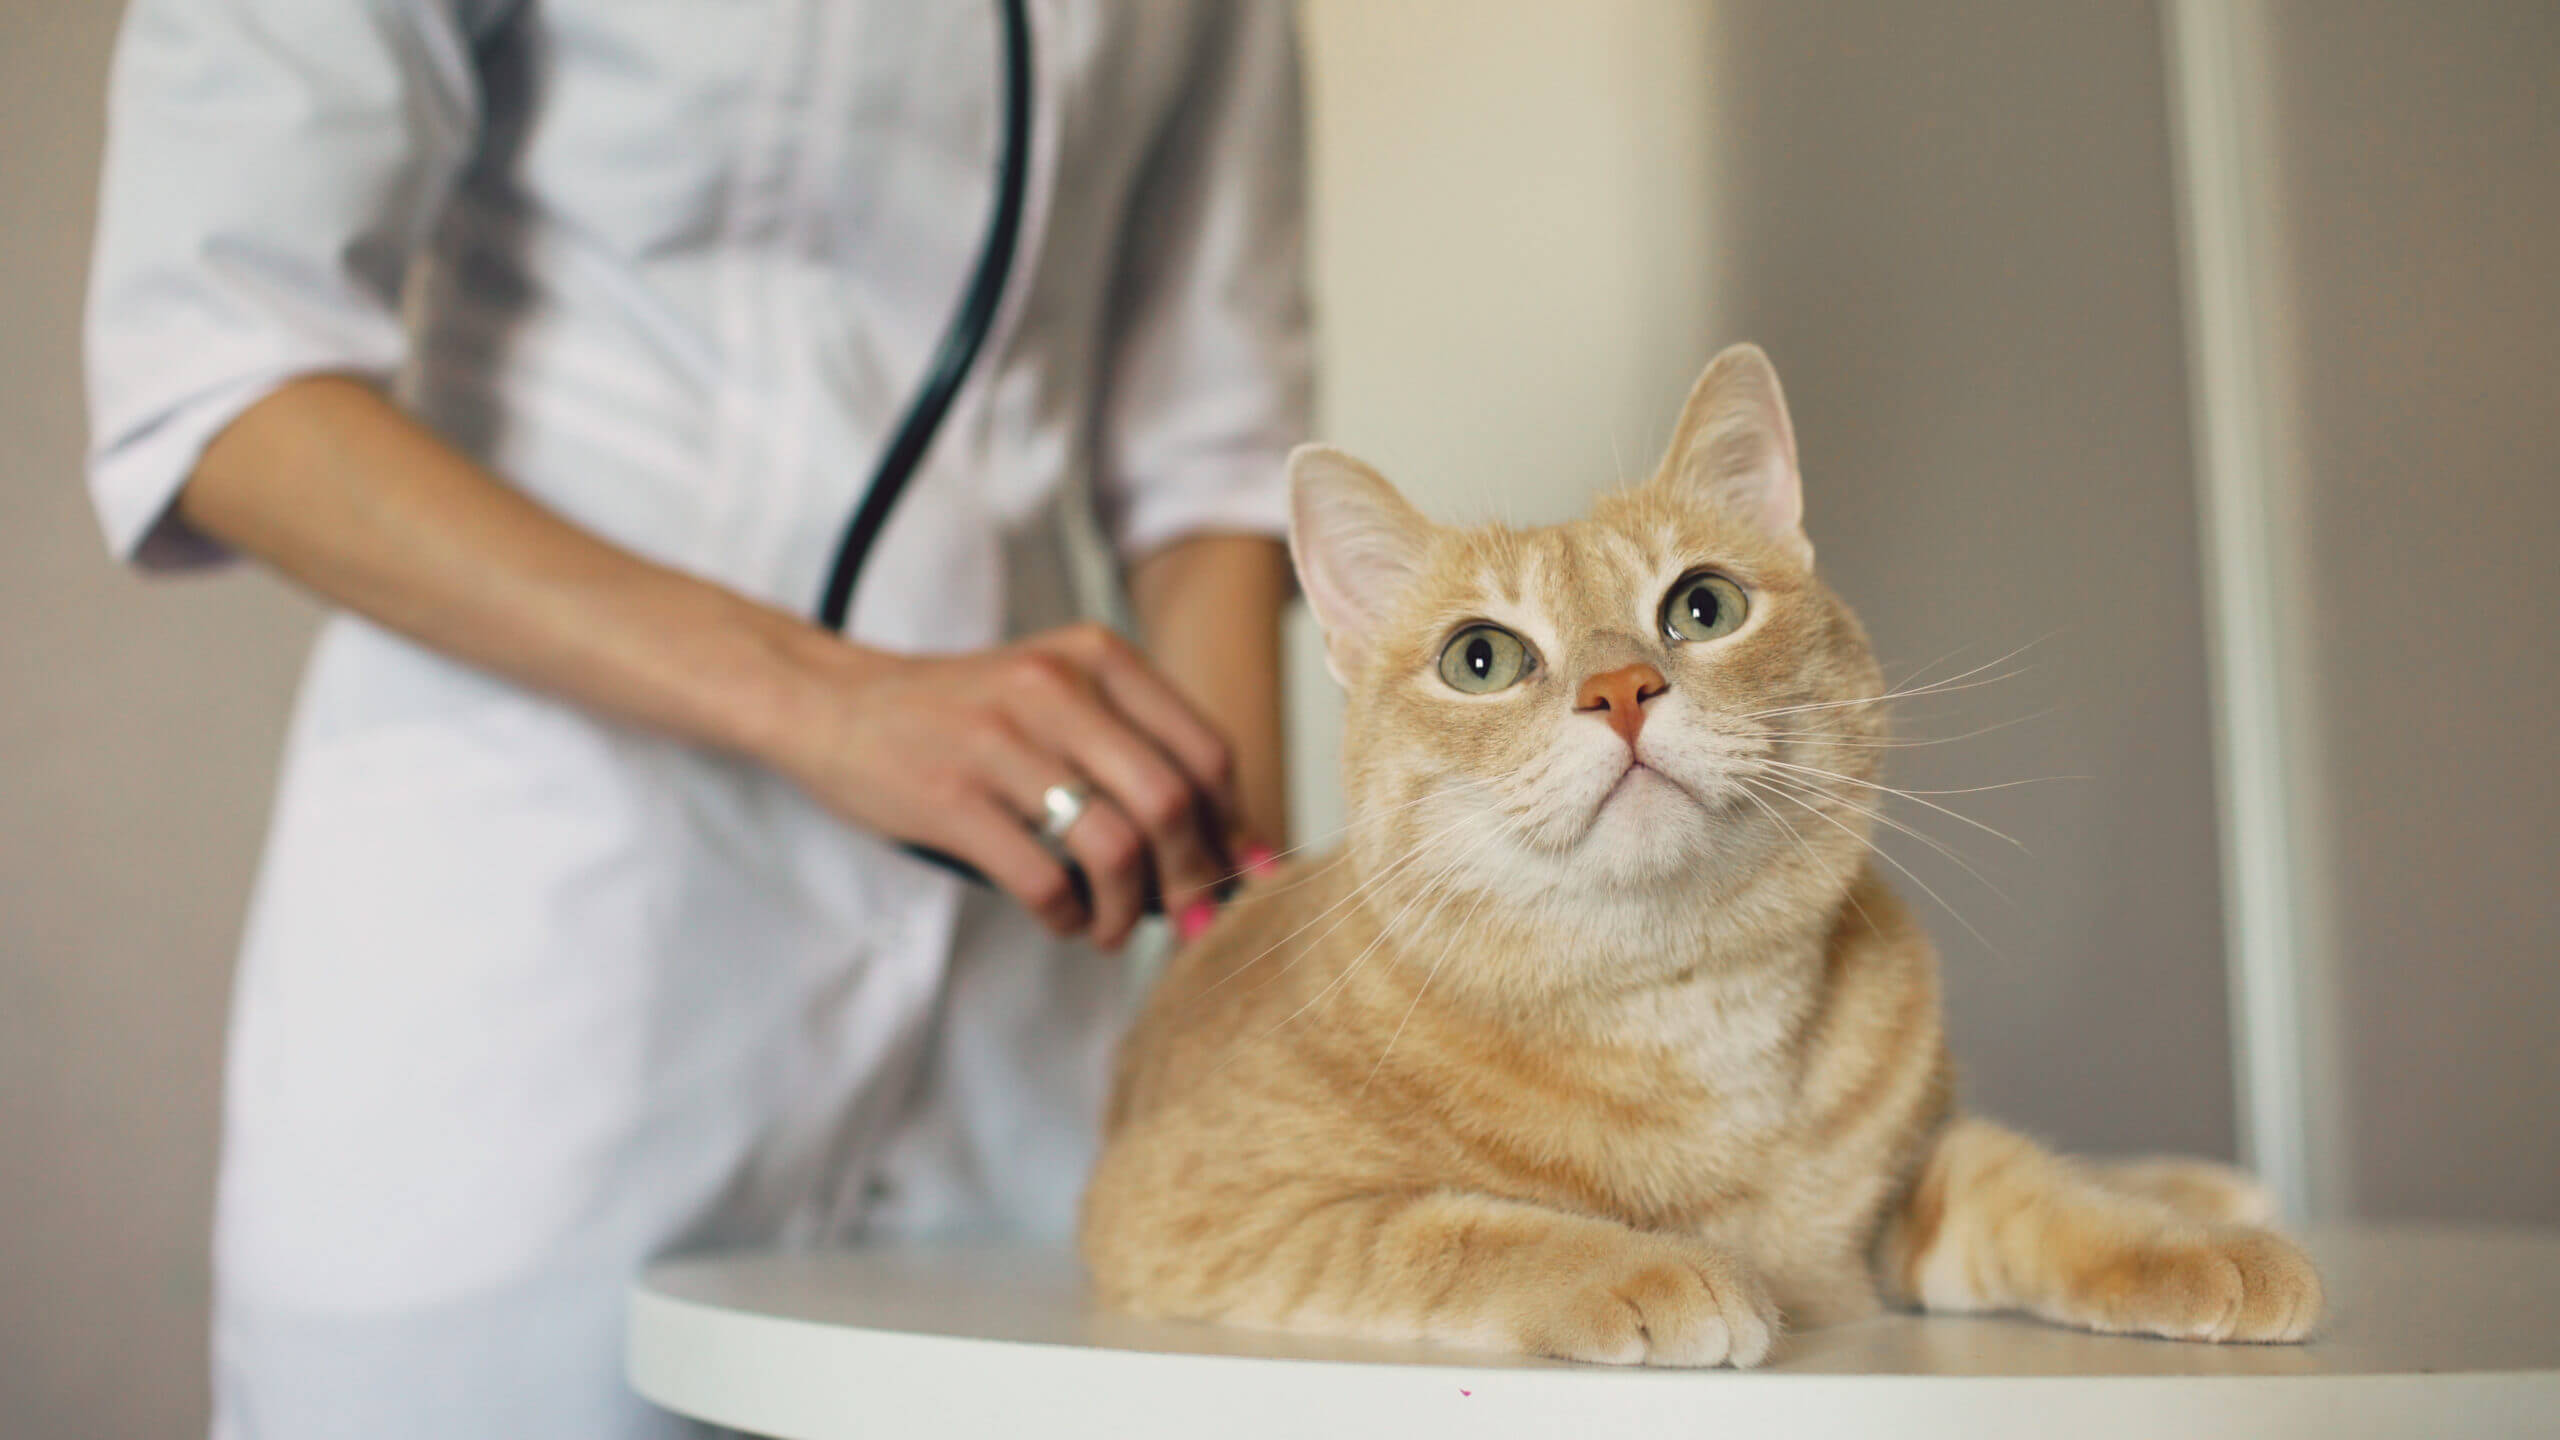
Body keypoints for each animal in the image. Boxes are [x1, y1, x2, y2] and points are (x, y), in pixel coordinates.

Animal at [1080, 345, 2324, 1352]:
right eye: (1481, 658)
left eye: (1703, 606)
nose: (1621, 690)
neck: (1686, 1007)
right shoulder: (1215, 1215)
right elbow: (1457, 1231)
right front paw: (1657, 1268)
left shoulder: (1912, 1185)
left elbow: (2040, 1194)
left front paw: (2192, 1251)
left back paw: (2209, 1193)